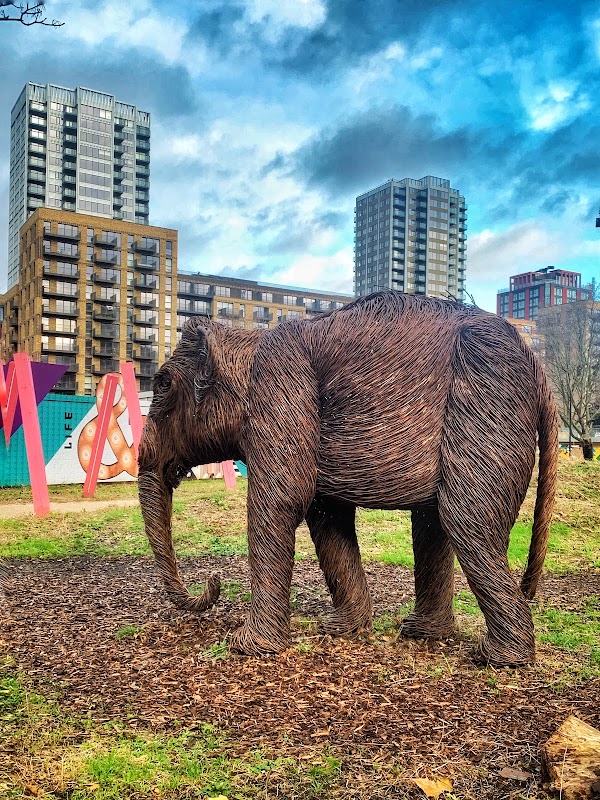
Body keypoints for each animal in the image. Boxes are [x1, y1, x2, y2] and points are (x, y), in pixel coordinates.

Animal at [138, 290, 558, 667]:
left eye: (162, 384)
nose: (213, 583)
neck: (245, 341)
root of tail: (540, 370)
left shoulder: (280, 395)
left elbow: (280, 504)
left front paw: (246, 647)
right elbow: (327, 516)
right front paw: (339, 630)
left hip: (488, 403)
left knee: (466, 520)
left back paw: (497, 659)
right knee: (433, 520)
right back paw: (424, 634)